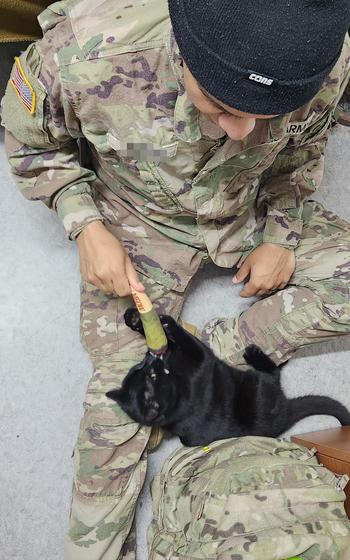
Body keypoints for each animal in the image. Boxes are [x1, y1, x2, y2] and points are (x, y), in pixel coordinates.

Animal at [106, 306, 350, 446]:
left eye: (138, 370)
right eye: (152, 375)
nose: (148, 359)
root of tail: (283, 414)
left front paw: (135, 319)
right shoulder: (202, 359)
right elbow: (185, 340)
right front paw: (166, 323)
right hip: (257, 385)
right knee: (273, 373)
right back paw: (254, 354)